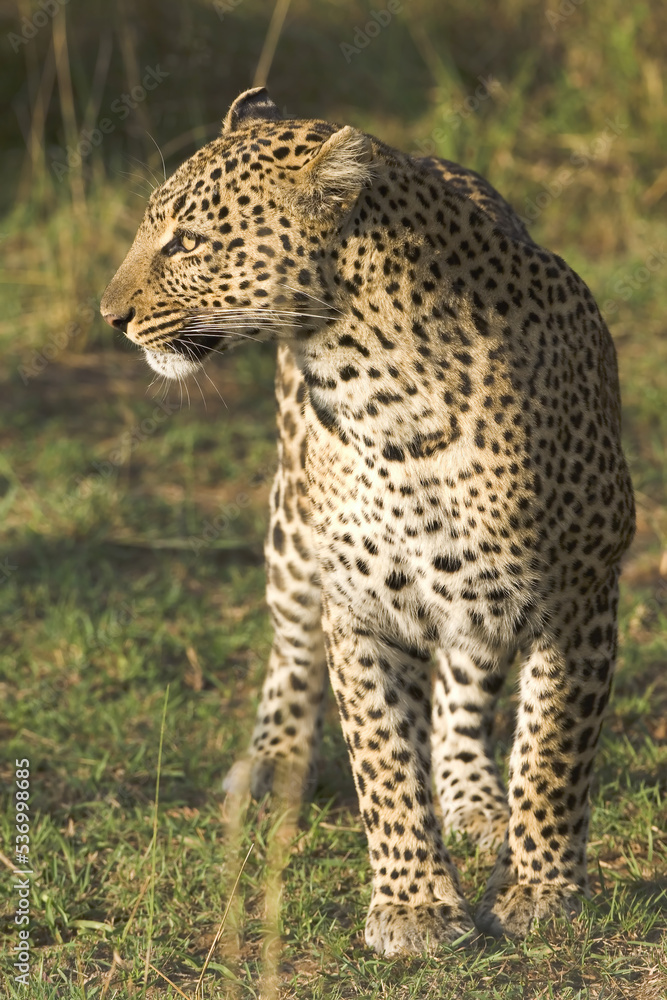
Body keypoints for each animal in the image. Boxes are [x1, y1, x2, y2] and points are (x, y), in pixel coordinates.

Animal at [101, 87, 635, 957]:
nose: (109, 315)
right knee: (291, 650)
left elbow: (553, 752)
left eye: (187, 241)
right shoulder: (360, 606)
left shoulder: (579, 593)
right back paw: (274, 760)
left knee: (464, 687)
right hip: (292, 533)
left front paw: (538, 888)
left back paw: (475, 798)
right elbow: (382, 759)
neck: (383, 396)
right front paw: (414, 905)